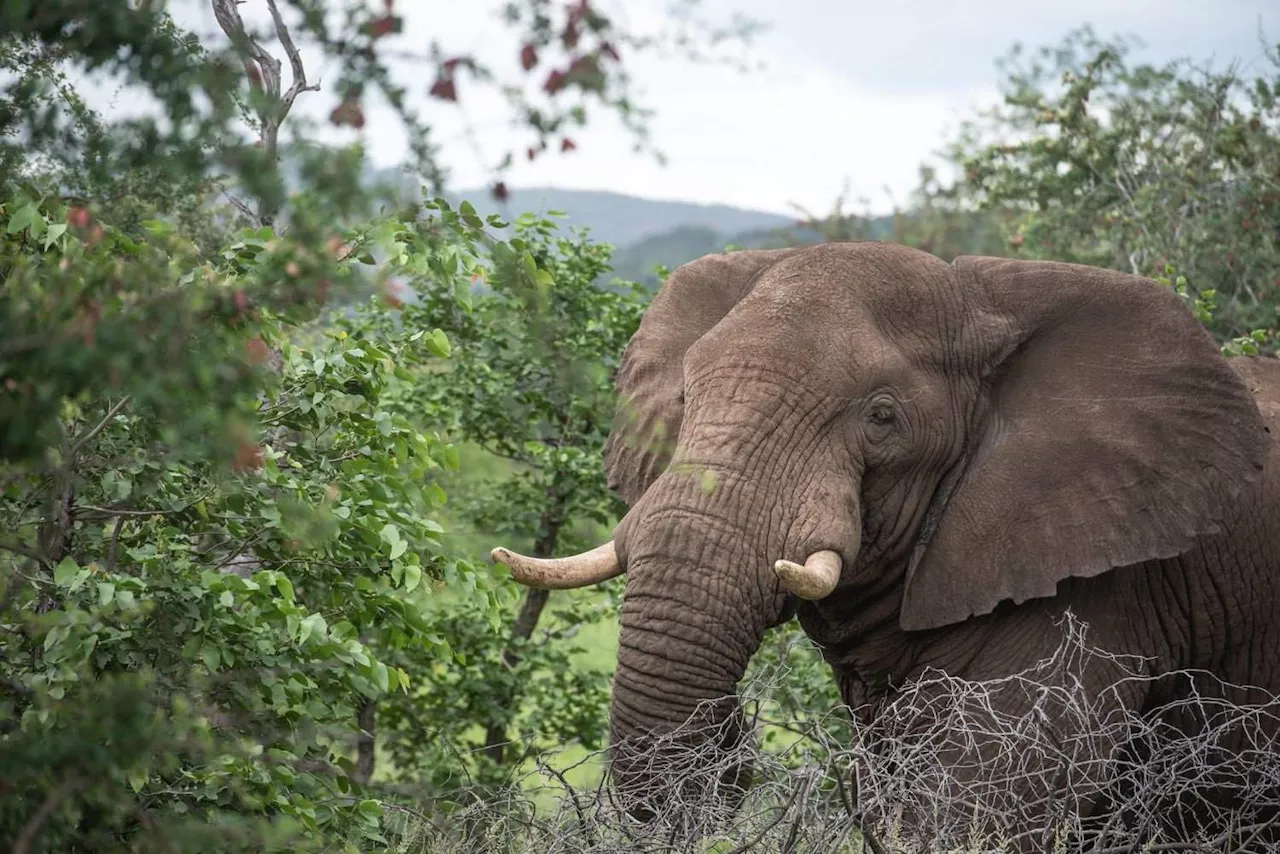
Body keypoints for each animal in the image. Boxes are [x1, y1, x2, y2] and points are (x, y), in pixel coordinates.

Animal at [488, 243, 1280, 845]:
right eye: (684, 402)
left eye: (882, 418)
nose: (736, 741)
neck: (983, 303)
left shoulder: (1100, 583)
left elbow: (971, 809)